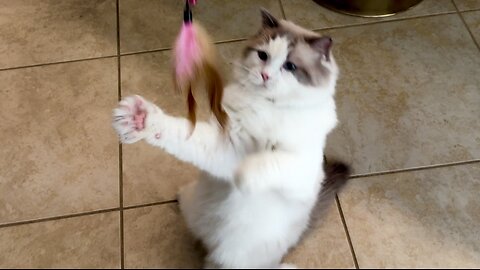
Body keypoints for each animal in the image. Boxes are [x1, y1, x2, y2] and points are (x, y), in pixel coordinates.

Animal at [114, 9, 350, 268]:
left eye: (289, 66)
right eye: (263, 56)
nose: (265, 75)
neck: (267, 106)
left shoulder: (300, 170)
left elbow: (268, 161)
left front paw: (245, 175)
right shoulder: (227, 146)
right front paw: (139, 119)